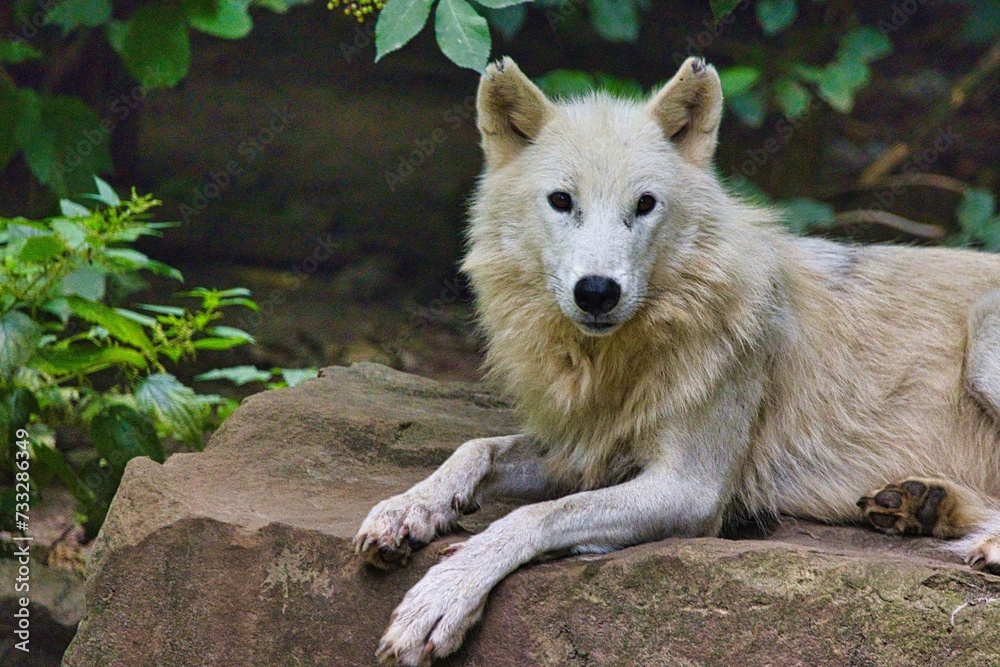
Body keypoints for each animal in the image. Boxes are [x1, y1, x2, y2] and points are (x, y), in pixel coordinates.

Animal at [354, 57, 1000, 666]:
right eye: (562, 201)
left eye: (644, 204)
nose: (597, 291)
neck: (613, 358)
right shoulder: (584, 448)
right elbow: (475, 450)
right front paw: (406, 509)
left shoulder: (690, 489)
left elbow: (536, 516)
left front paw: (442, 597)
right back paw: (919, 505)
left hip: (983, 345)